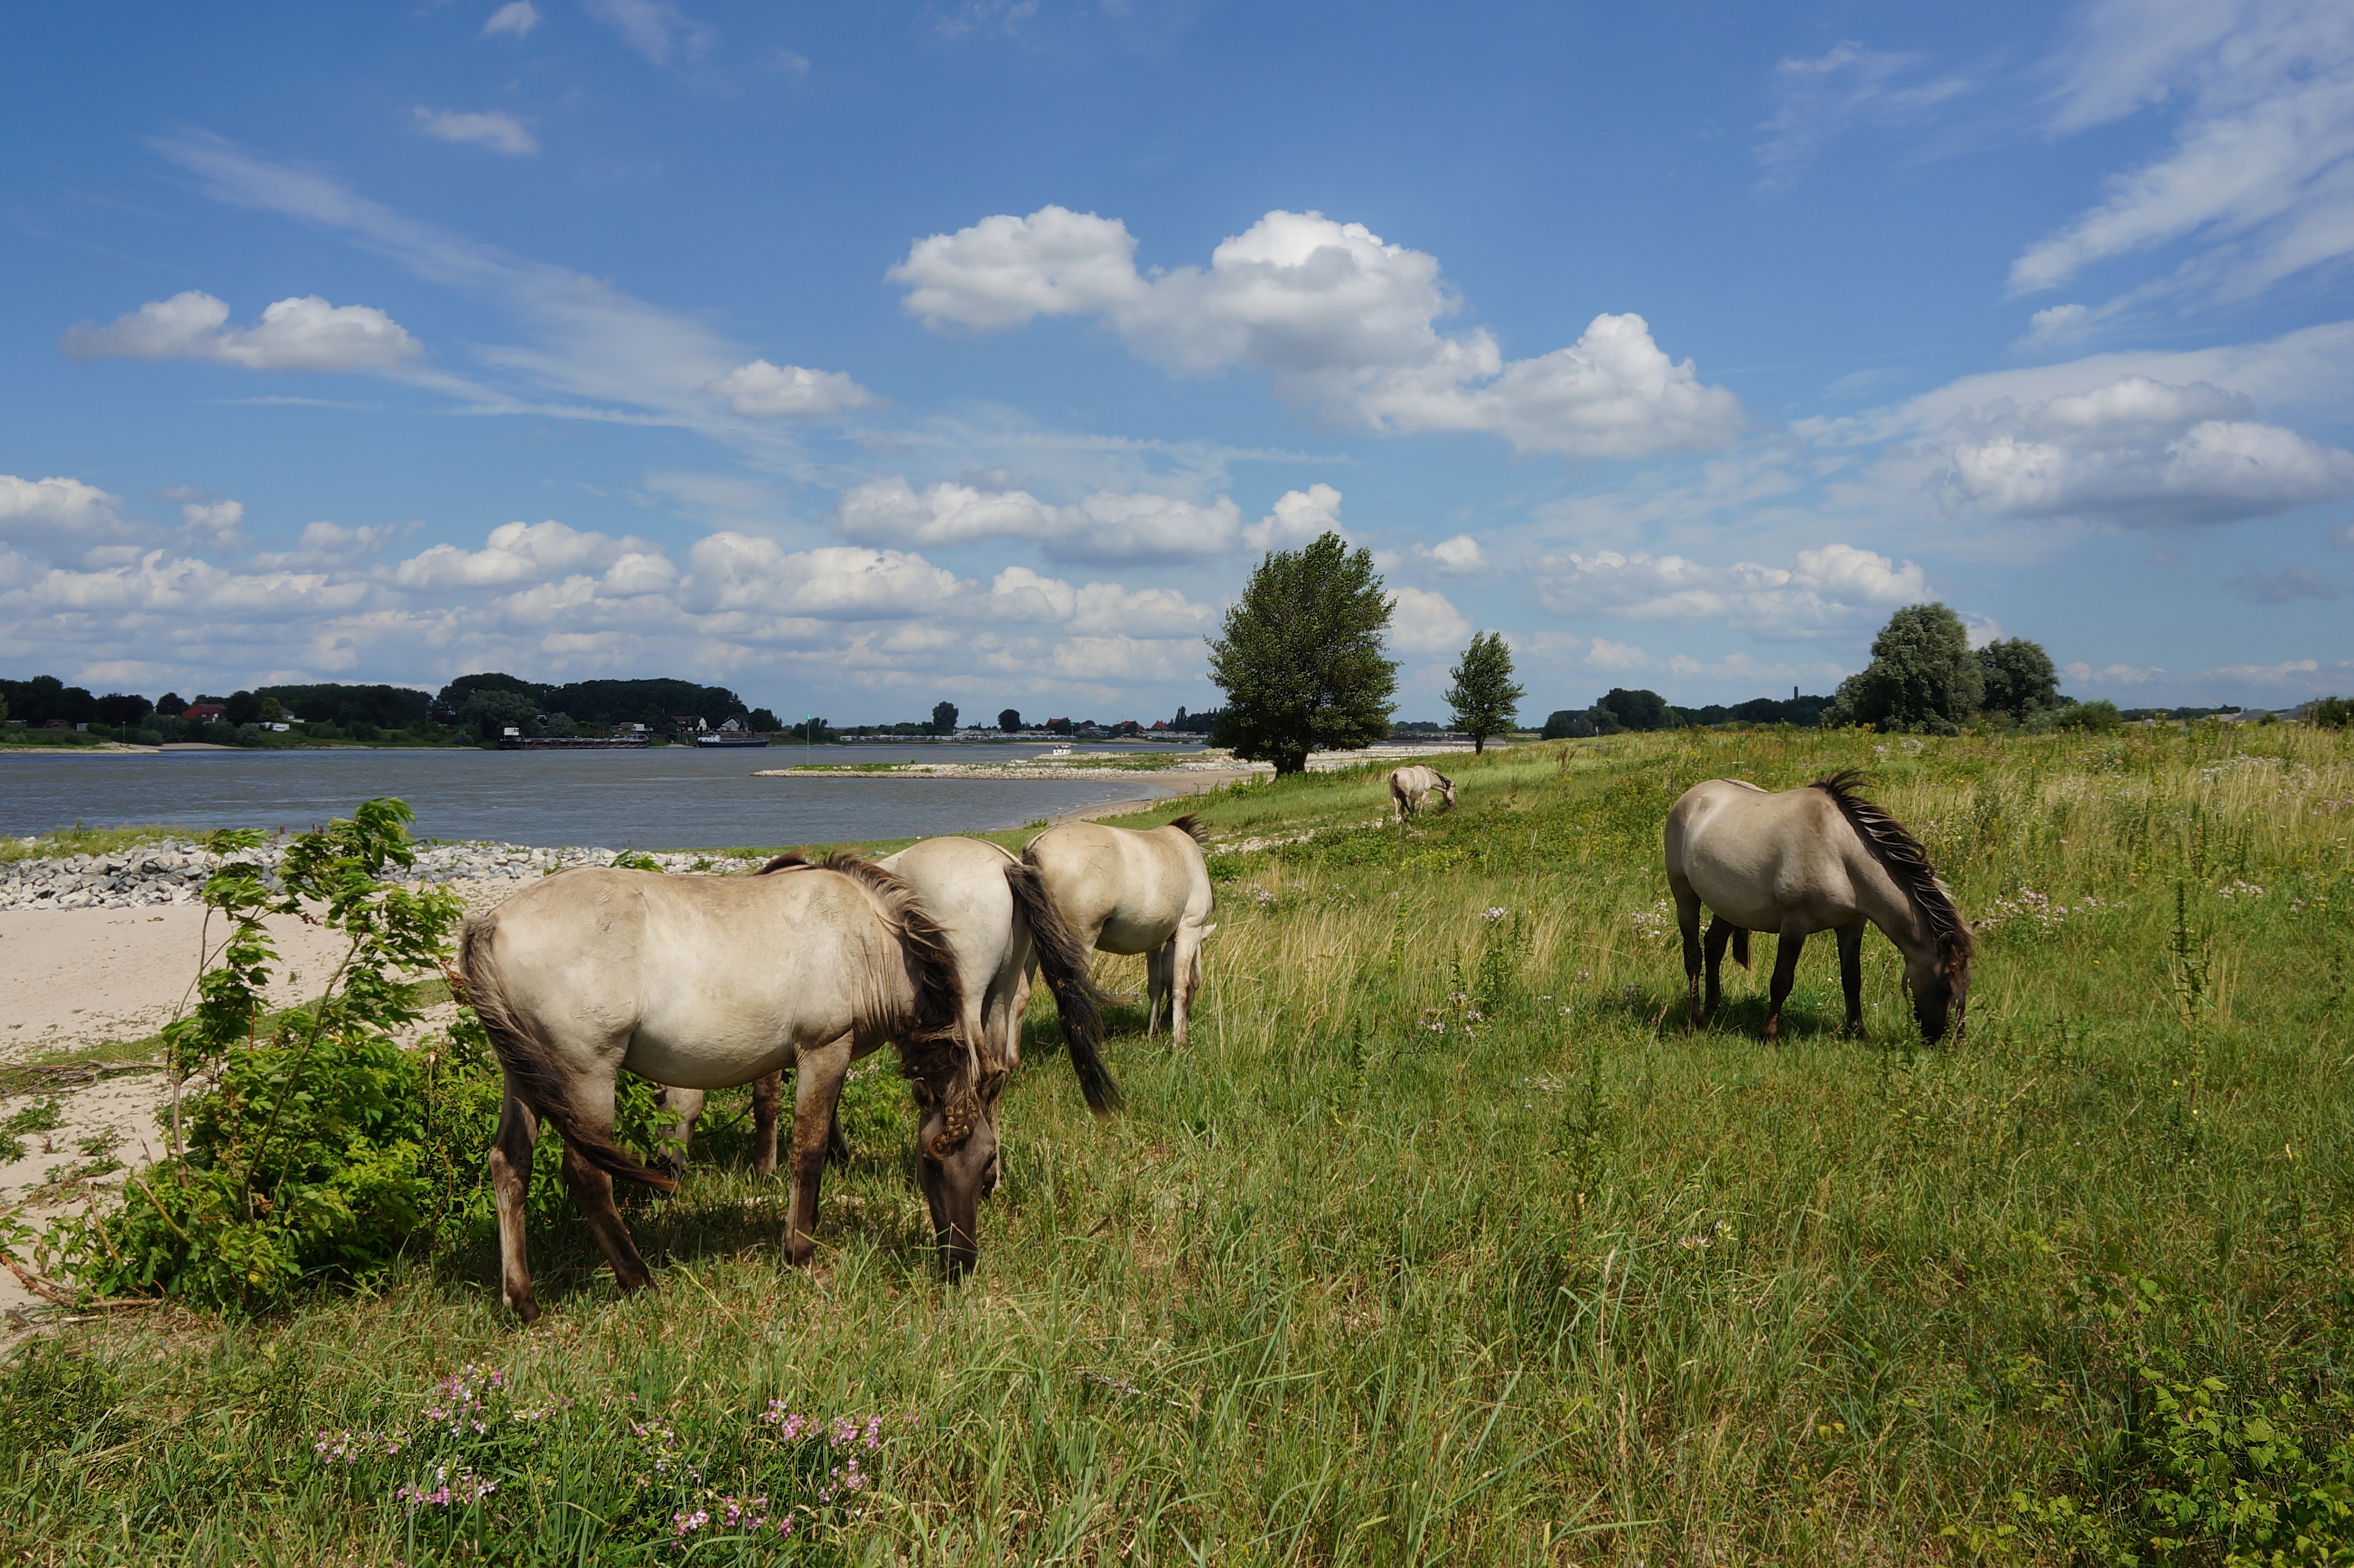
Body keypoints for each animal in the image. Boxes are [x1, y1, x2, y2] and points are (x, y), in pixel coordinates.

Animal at [455, 852, 992, 1323]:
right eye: (930, 1161)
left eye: (987, 1160)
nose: (962, 1262)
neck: (866, 939)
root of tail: (493, 923)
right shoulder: (824, 1050)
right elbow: (809, 1152)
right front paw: (800, 1256)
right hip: (586, 1075)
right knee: (586, 1174)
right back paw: (639, 1280)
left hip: (524, 1075)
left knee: (510, 1165)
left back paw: (523, 1301)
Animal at [1022, 813, 1217, 1044]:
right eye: (1198, 984)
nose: (1173, 1018)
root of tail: (1036, 848)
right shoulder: (1190, 929)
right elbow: (1180, 986)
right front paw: (1179, 1041)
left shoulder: (1153, 940)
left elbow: (1156, 984)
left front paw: (1153, 1033)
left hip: (1032, 949)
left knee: (1018, 997)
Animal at [1664, 769, 1973, 1044]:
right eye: (1944, 986)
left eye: (1966, 984)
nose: (1952, 1043)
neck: (1837, 852)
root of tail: (1691, 797)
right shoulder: (1795, 924)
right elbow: (1781, 981)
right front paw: (1768, 1035)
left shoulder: (1851, 925)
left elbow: (1852, 979)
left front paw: (1857, 1032)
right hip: (1685, 895)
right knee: (1694, 956)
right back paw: (1696, 1019)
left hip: (1730, 906)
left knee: (1714, 946)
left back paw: (1713, 1007)